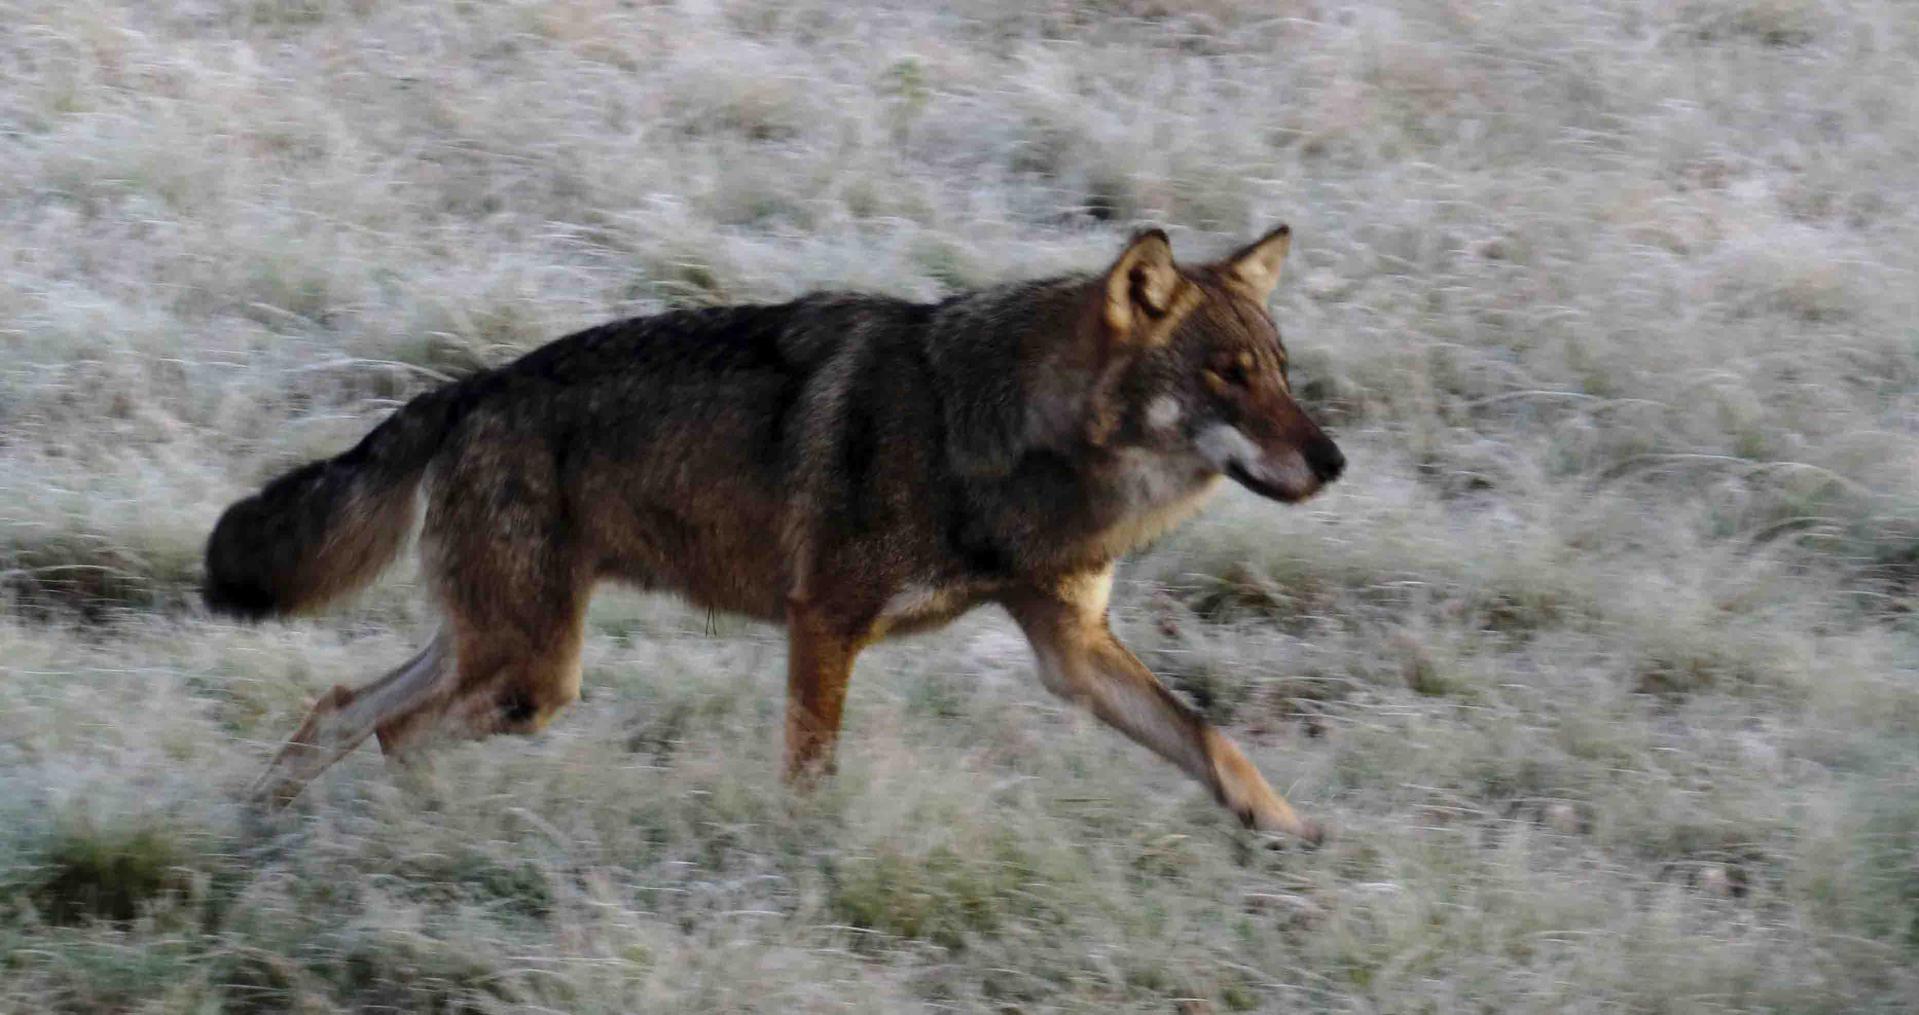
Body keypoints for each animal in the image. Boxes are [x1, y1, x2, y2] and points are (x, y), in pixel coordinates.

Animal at [210, 227, 1343, 840]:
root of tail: (469, 387)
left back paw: (277, 821)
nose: (1333, 461)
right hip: (532, 673)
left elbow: (1211, 739)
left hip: (499, 656)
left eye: (1282, 371)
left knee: (342, 707)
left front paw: (1291, 833)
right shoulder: (824, 622)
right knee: (389, 726)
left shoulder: (1072, 649)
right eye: (1226, 376)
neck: (998, 439)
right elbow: (809, 777)